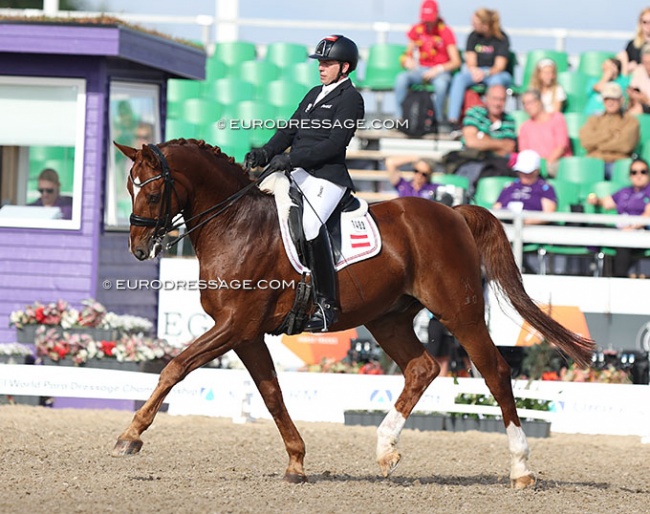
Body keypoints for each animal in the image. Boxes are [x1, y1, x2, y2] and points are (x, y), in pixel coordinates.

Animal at [112, 138, 592, 486]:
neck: (236, 225)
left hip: (460, 312)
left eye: (152, 191)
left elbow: (175, 367)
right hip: (387, 318)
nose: (138, 249)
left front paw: (129, 436)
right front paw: (297, 463)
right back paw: (385, 450)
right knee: (421, 368)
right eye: (128, 188)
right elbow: (272, 395)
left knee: (494, 371)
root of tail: (453, 212)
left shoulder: (234, 325)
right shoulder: (246, 334)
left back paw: (521, 469)